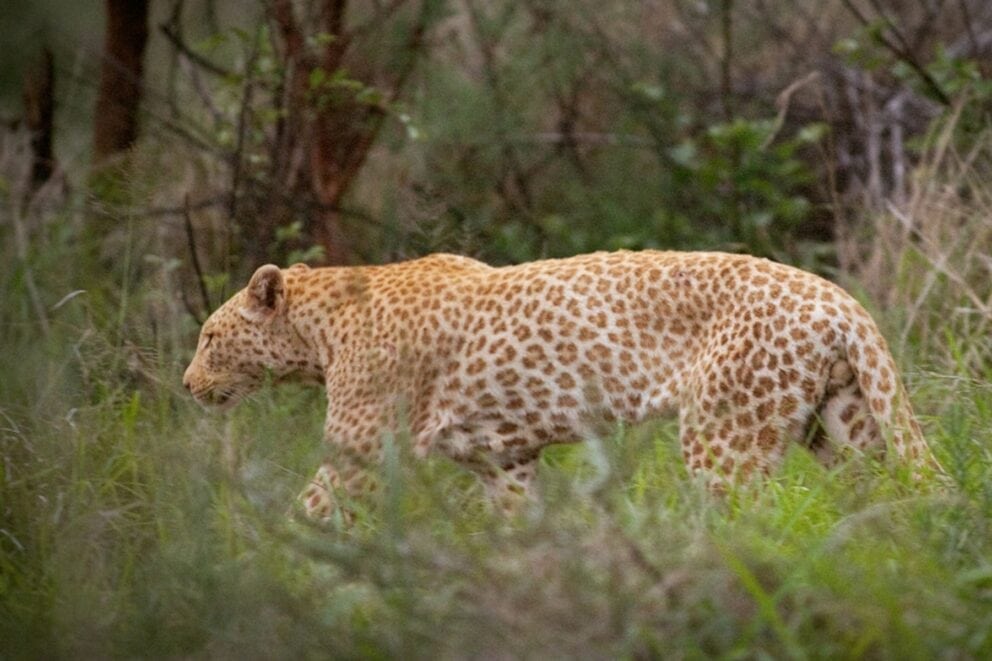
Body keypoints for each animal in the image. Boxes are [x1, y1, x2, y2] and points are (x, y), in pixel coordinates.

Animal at [183, 250, 941, 520]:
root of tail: (839, 298)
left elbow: (310, 510)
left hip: (726, 437)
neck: (320, 327)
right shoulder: (504, 460)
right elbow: (516, 524)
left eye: (210, 338)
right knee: (885, 492)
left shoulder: (360, 453)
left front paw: (264, 566)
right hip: (844, 424)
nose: (187, 384)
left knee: (745, 518)